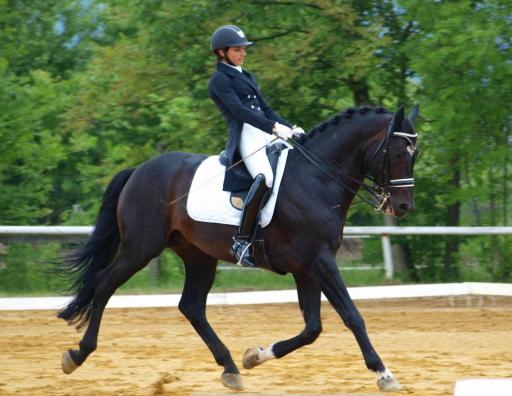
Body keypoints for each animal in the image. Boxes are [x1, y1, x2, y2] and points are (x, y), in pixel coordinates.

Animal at [59, 106, 420, 392]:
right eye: (397, 154)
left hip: (198, 255)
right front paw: (385, 374)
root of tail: (140, 170)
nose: (403, 207)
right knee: (104, 283)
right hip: (140, 248)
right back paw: (77, 354)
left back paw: (231, 368)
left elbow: (312, 328)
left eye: (415, 155)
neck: (317, 178)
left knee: (191, 306)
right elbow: (352, 316)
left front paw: (255, 356)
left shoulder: (307, 267)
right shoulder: (320, 260)